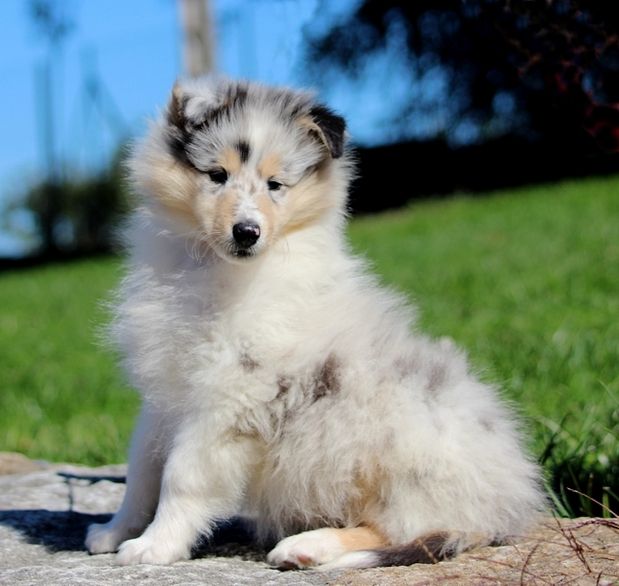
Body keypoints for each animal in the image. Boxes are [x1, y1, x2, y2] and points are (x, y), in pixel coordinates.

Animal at [86, 75, 544, 568]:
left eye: (276, 184)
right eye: (217, 175)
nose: (247, 232)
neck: (211, 266)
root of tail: (508, 502)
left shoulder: (229, 396)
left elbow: (182, 477)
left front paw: (155, 545)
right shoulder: (166, 392)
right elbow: (142, 471)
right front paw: (114, 531)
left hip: (403, 445)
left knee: (400, 529)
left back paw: (307, 545)